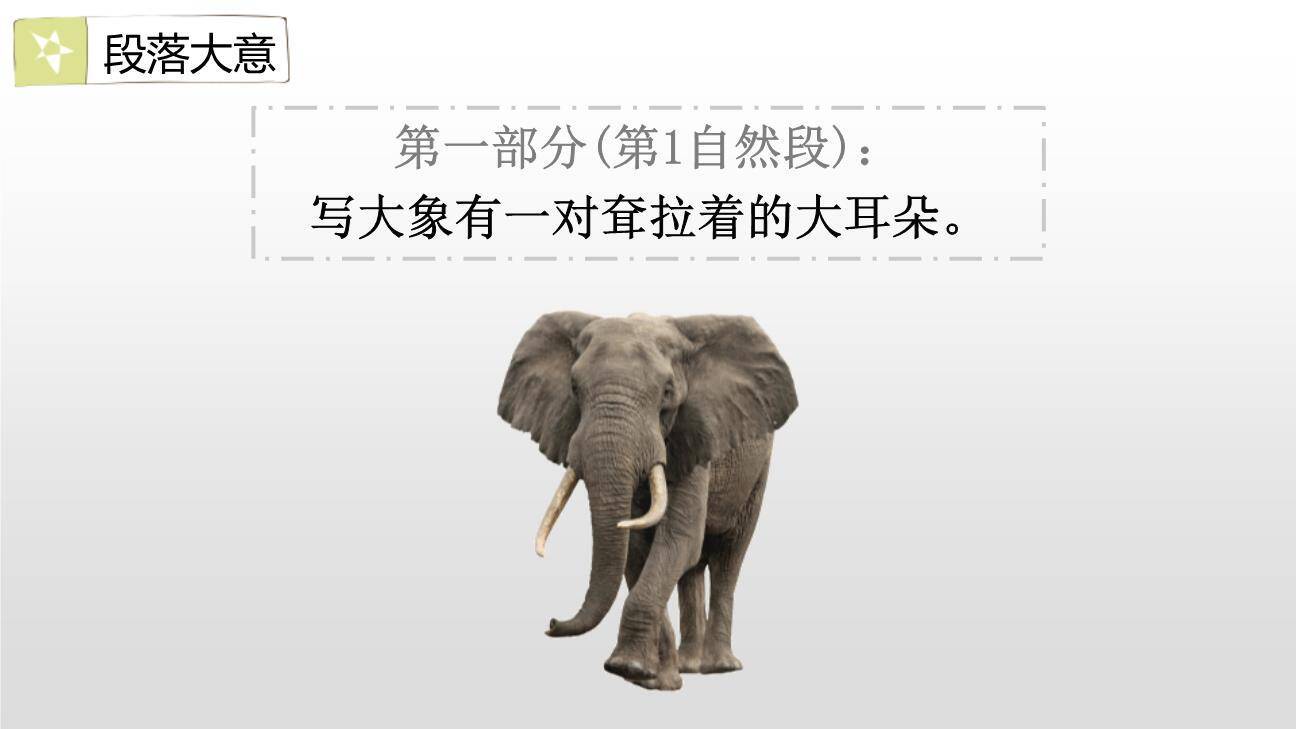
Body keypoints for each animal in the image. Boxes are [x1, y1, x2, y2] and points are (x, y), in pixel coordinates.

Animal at [497, 312, 797, 690]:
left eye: (667, 392)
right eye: (574, 389)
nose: (552, 622)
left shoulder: (695, 435)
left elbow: (678, 538)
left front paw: (629, 668)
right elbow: (638, 547)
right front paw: (655, 680)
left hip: (758, 469)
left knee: (729, 555)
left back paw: (721, 668)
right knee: (692, 568)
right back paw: (688, 666)